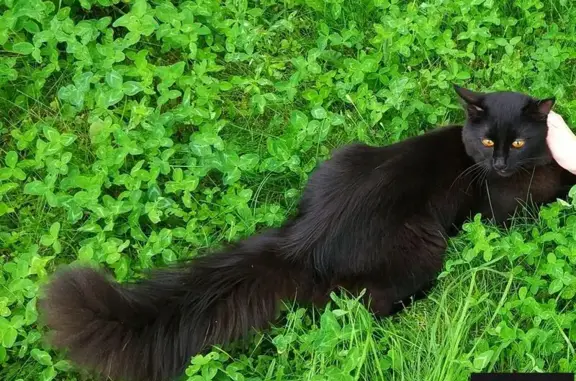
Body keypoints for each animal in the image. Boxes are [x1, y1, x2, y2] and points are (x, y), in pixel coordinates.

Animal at [37, 85, 576, 380]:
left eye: (517, 141)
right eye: (487, 142)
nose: (499, 163)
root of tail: (303, 244)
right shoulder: (506, 211)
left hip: (346, 156)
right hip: (425, 248)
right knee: (369, 306)